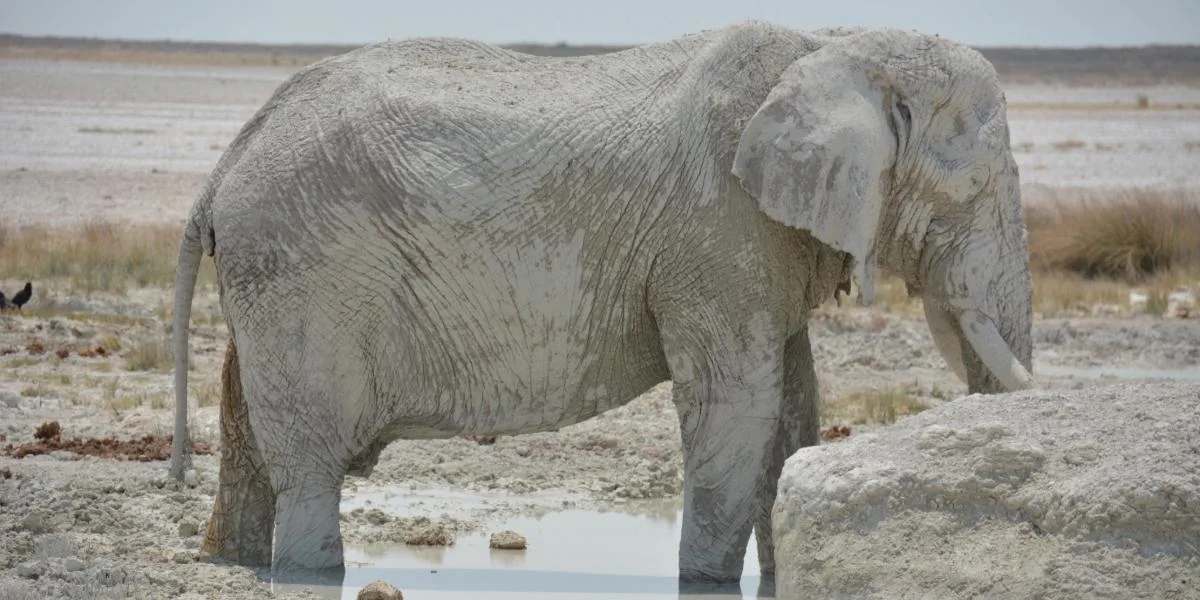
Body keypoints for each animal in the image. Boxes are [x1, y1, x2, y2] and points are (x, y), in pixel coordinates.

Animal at [169, 20, 1034, 585]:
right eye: (977, 182)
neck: (838, 43)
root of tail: (227, 161)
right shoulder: (717, 229)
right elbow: (736, 407)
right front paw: (707, 585)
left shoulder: (761, 248)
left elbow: (794, 411)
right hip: (304, 276)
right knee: (309, 465)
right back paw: (308, 574)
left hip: (272, 275)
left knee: (245, 428)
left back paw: (233, 561)